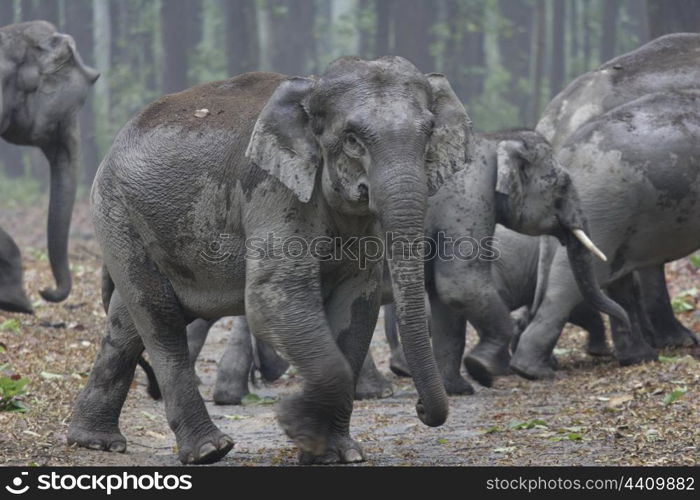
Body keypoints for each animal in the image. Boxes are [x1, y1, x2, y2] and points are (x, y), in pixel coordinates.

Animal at [68, 57, 474, 464]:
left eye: (429, 133)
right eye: (352, 139)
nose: (420, 408)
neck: (312, 88)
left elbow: (357, 306)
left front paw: (336, 453)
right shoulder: (272, 190)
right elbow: (271, 298)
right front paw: (297, 422)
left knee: (126, 321)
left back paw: (95, 441)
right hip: (117, 213)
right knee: (159, 318)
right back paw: (209, 450)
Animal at [508, 90, 700, 378]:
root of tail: (566, 154)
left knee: (613, 278)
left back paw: (639, 356)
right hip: (605, 207)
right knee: (568, 287)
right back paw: (533, 371)